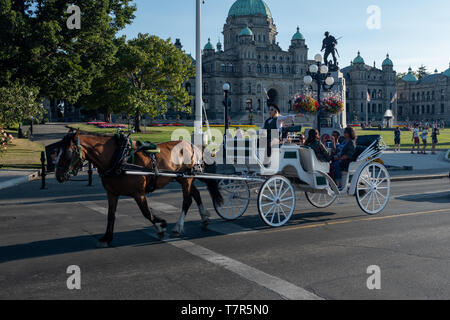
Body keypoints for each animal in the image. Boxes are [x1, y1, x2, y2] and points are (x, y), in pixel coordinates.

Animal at [55, 130, 222, 248]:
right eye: (57, 151)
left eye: (68, 152)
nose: (58, 176)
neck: (119, 158)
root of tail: (192, 145)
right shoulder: (112, 193)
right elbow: (111, 215)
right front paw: (106, 238)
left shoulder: (138, 193)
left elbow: (146, 212)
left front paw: (161, 227)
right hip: (181, 177)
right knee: (196, 194)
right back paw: (204, 218)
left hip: (186, 178)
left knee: (187, 201)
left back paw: (177, 227)